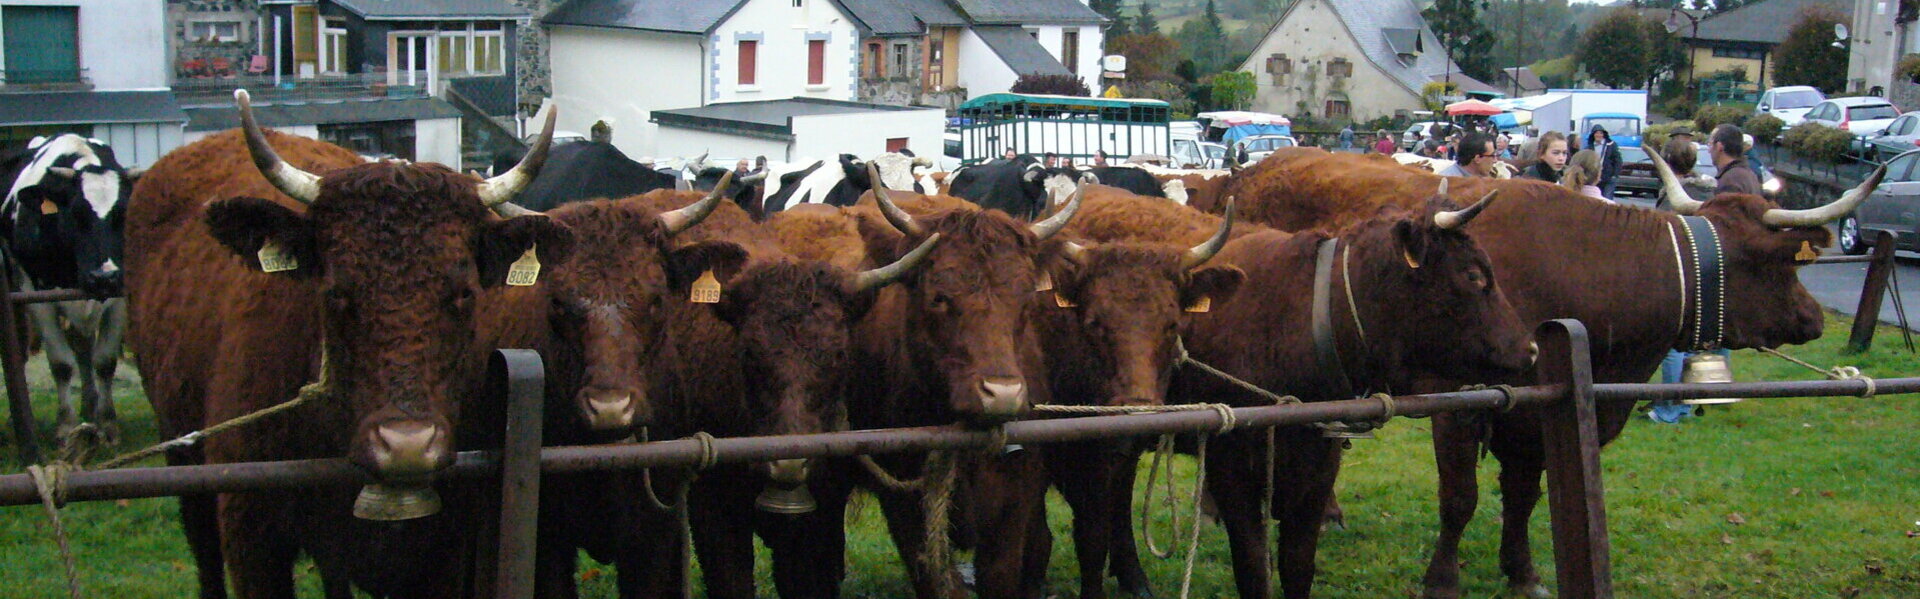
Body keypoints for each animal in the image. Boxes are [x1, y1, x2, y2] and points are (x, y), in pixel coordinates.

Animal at [0, 134, 139, 445]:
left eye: (123, 214)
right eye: (76, 214)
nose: (103, 276)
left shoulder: (119, 298)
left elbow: (104, 361)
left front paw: (108, 424)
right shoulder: (37, 298)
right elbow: (61, 364)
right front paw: (65, 427)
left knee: (83, 347)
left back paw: (91, 406)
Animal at [1198, 144, 1873, 599]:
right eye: (1786, 262)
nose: (1814, 317)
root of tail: (1249, 171)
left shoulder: (1535, 406)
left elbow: (1524, 495)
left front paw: (1520, 570)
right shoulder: (1458, 400)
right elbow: (1461, 498)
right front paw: (1443, 580)